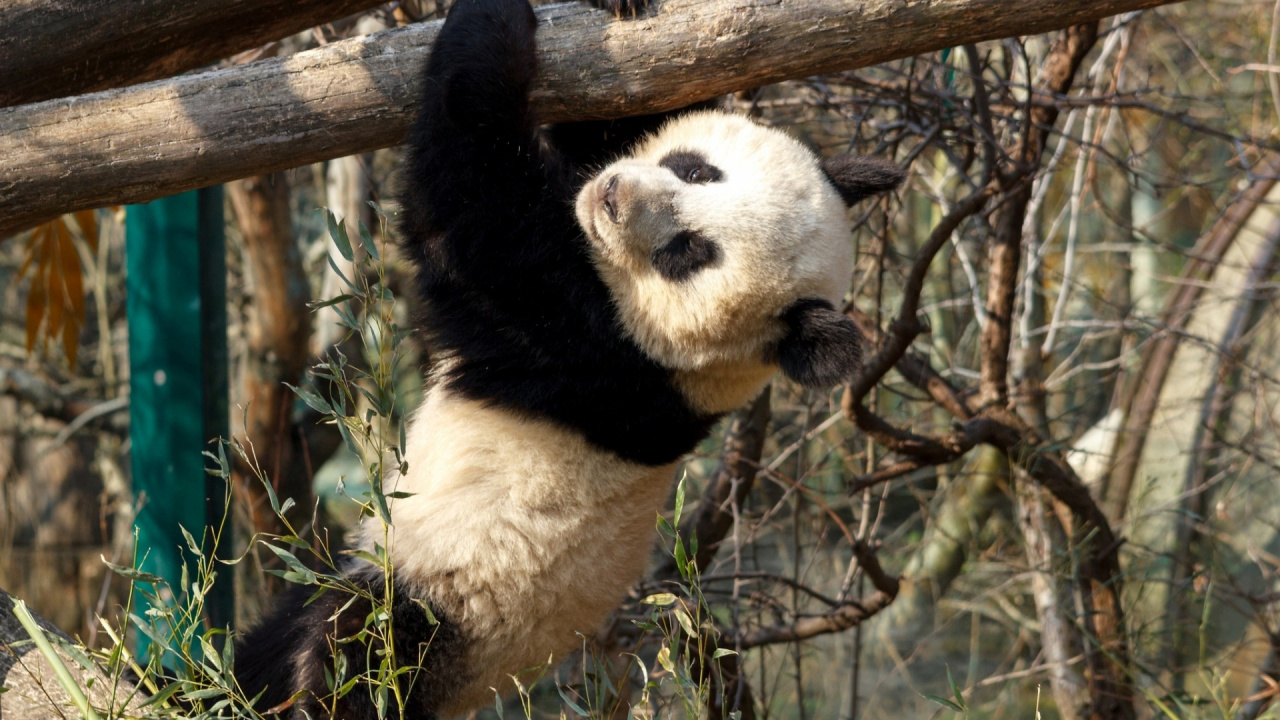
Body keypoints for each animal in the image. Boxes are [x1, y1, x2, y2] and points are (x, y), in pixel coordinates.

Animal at [233, 0, 903, 716]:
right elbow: (611, 121)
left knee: (357, 654)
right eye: (696, 169)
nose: (612, 195)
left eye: (689, 252)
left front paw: (491, 23)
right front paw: (624, 12)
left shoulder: (594, 351)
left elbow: (471, 217)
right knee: (274, 644)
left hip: (439, 609)